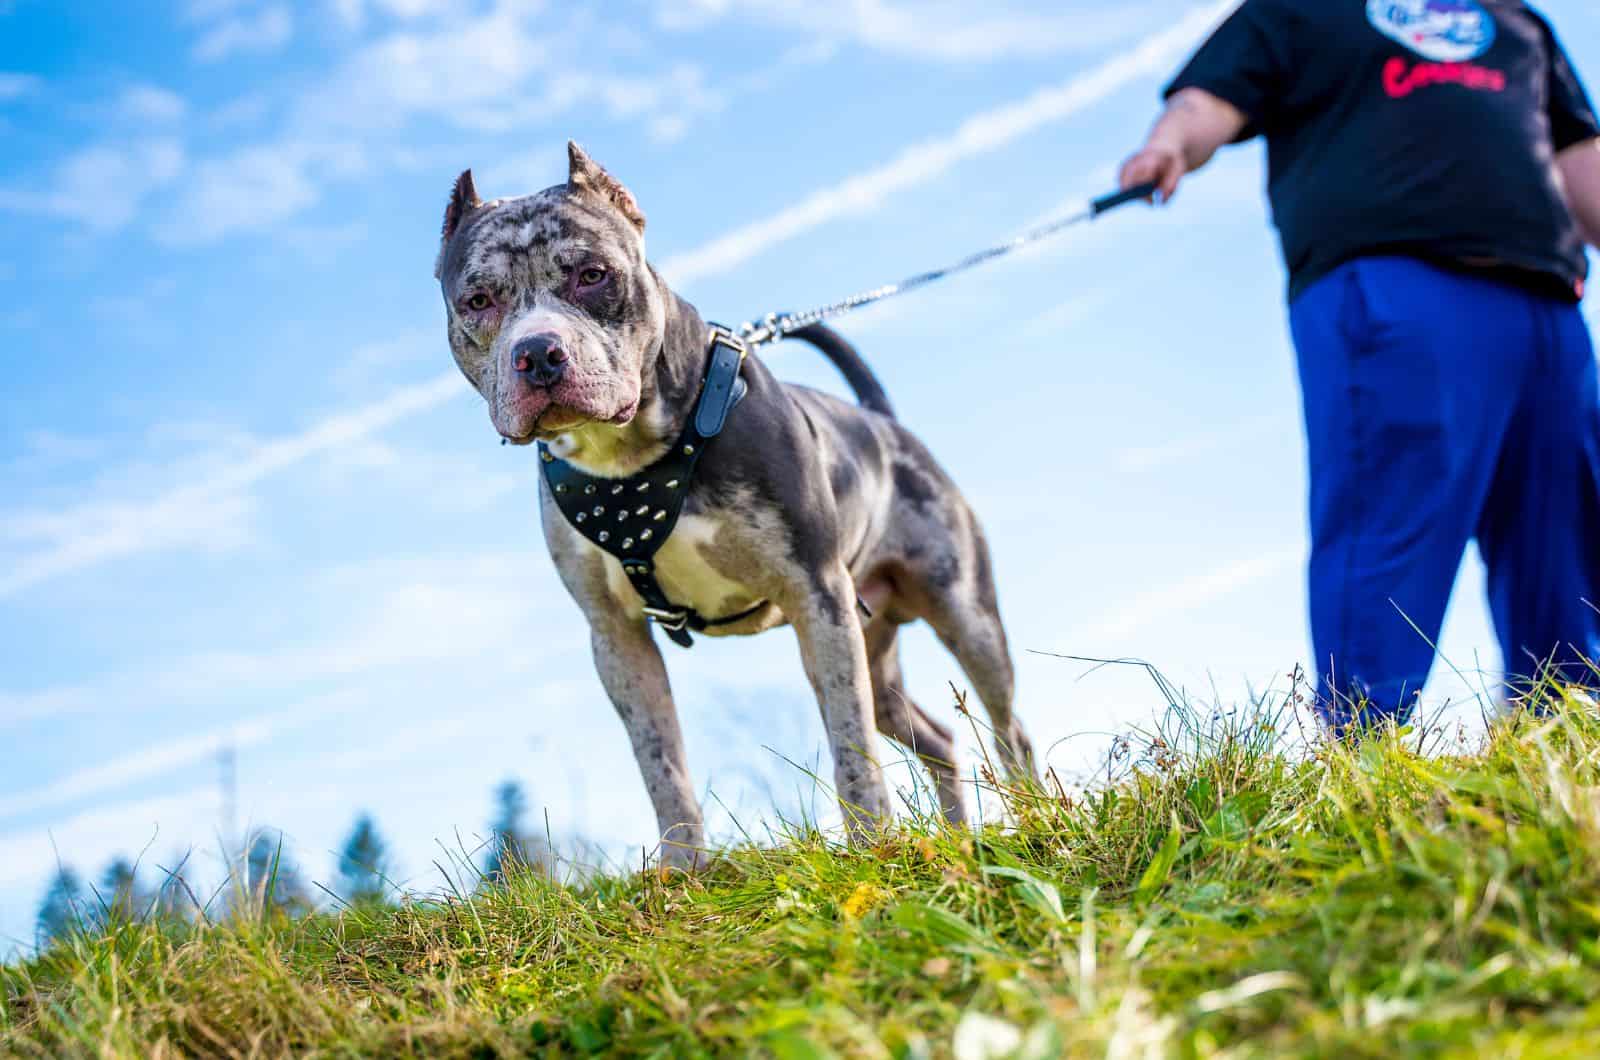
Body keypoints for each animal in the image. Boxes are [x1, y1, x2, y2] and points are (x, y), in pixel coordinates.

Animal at [435, 143, 1036, 871]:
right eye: (478, 300)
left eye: (591, 275)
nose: (537, 353)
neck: (631, 456)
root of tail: (881, 422)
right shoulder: (616, 637)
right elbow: (661, 761)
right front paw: (683, 872)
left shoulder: (816, 595)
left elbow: (849, 741)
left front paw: (872, 846)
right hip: (874, 646)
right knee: (940, 738)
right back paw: (956, 837)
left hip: (961, 614)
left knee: (1007, 726)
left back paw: (1040, 815)